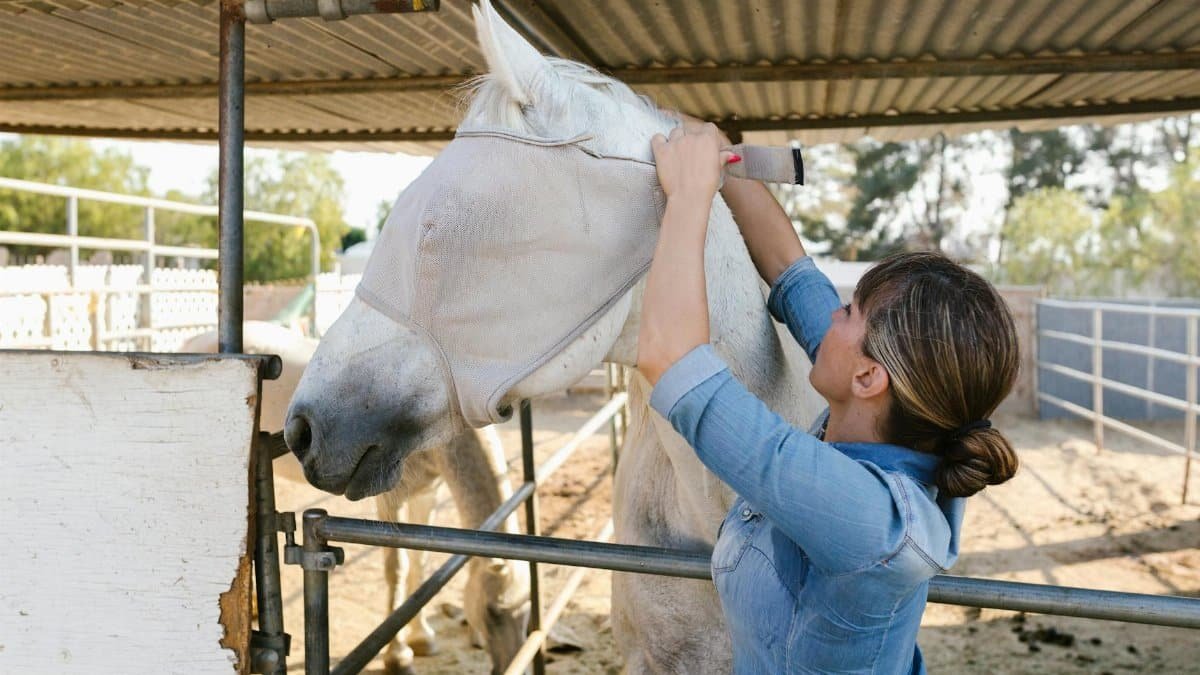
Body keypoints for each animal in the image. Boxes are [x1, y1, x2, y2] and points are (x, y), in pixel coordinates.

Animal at [182, 322, 529, 675]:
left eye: (527, 616)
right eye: (494, 612)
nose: (511, 664)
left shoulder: (428, 494)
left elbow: (420, 565)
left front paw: (422, 639)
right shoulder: (391, 500)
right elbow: (397, 568)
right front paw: (398, 657)